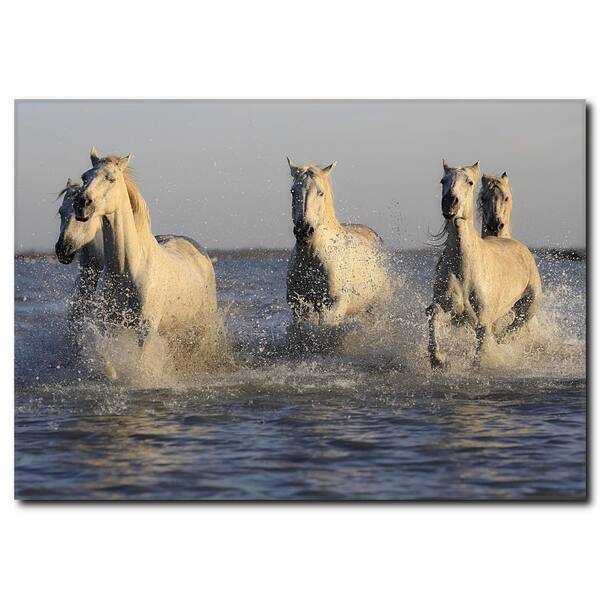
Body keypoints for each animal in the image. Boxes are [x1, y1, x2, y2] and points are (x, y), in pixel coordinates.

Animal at [73, 147, 219, 372]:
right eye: (84, 177)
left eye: (111, 178)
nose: (82, 204)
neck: (125, 269)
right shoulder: (109, 324)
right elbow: (107, 359)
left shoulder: (146, 328)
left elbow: (141, 363)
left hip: (203, 325)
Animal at [286, 159, 391, 328]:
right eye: (293, 191)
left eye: (320, 193)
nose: (303, 231)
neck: (312, 258)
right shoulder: (299, 307)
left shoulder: (333, 306)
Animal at [426, 160, 542, 369]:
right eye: (442, 181)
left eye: (470, 182)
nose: (450, 203)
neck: (464, 269)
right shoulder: (450, 309)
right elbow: (434, 315)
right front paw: (438, 358)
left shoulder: (483, 320)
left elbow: (481, 350)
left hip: (528, 308)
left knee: (511, 329)